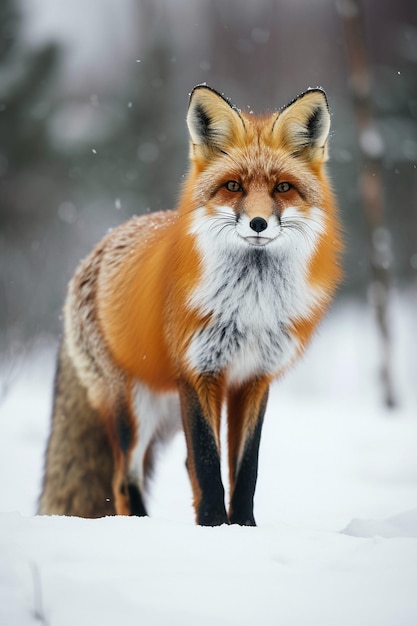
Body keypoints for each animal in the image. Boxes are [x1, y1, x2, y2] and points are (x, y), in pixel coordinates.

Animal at [37, 85, 340, 524]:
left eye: (283, 188)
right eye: (233, 186)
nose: (259, 224)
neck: (251, 306)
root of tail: (96, 249)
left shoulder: (253, 379)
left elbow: (244, 470)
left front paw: (242, 528)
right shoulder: (199, 373)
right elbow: (209, 465)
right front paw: (214, 528)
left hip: (166, 405)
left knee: (176, 466)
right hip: (135, 408)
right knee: (123, 480)